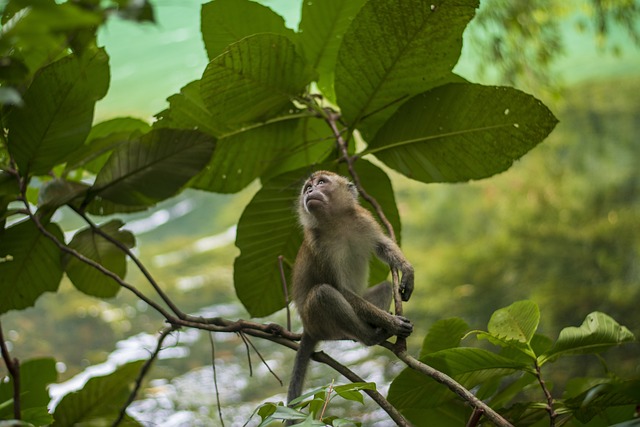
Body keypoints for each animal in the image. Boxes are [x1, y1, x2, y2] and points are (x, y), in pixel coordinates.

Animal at [286, 171, 416, 408]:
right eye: (307, 187)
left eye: (321, 183)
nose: (310, 191)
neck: (336, 221)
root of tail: (308, 329)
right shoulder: (319, 245)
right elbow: (341, 289)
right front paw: (393, 323)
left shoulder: (363, 218)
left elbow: (382, 246)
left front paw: (407, 270)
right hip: (319, 322)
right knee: (323, 293)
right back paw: (371, 336)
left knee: (385, 287)